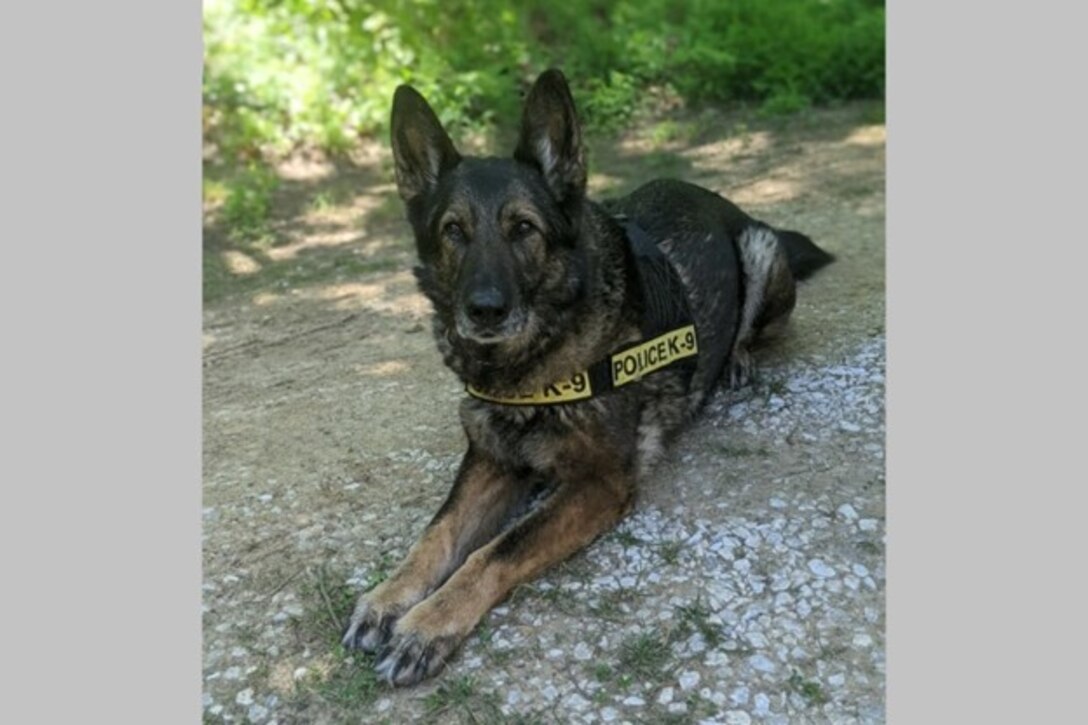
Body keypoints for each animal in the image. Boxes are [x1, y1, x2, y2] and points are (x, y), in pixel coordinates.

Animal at [341, 67, 831, 683]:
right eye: (453, 231)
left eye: (523, 229)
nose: (484, 311)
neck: (529, 365)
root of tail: (718, 200)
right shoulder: (490, 461)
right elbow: (437, 535)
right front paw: (388, 596)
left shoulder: (598, 484)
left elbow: (493, 551)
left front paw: (430, 622)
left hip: (761, 252)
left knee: (753, 326)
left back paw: (738, 359)